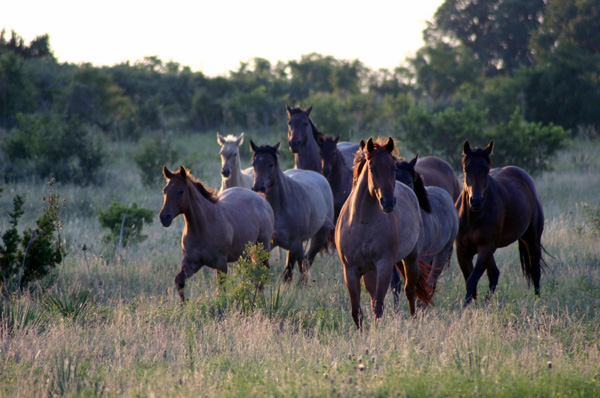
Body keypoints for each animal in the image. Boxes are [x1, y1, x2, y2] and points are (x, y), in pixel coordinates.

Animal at [157, 166, 274, 302]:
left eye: (180, 191)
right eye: (164, 190)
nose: (164, 217)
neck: (202, 228)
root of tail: (262, 200)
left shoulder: (221, 264)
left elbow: (221, 290)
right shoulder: (192, 263)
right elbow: (179, 281)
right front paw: (184, 303)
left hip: (263, 247)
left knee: (262, 272)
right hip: (243, 255)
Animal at [247, 140, 332, 282]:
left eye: (271, 164)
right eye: (254, 164)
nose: (258, 187)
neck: (278, 209)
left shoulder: (293, 244)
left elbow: (287, 274)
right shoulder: (266, 244)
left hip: (319, 237)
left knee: (307, 261)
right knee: (303, 263)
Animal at [338, 138, 432, 330]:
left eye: (393, 168)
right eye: (372, 168)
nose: (388, 202)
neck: (362, 223)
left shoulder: (384, 265)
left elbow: (378, 306)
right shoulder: (350, 270)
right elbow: (357, 311)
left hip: (411, 259)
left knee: (410, 290)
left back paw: (414, 321)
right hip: (369, 271)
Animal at [458, 141, 548, 306]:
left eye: (486, 170)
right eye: (466, 169)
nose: (476, 201)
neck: (473, 217)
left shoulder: (486, 247)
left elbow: (472, 280)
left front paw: (466, 307)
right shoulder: (462, 251)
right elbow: (470, 279)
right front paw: (471, 306)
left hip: (531, 239)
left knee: (535, 270)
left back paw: (537, 301)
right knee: (494, 273)